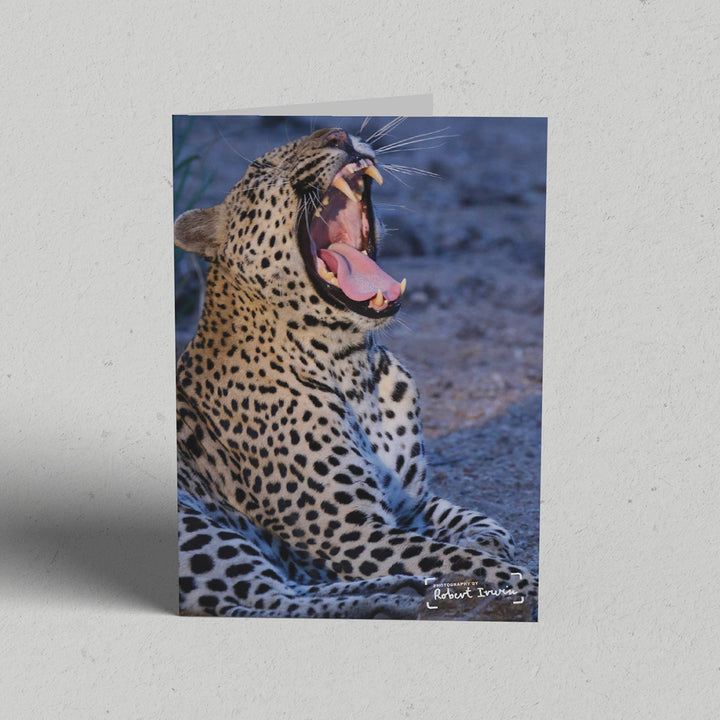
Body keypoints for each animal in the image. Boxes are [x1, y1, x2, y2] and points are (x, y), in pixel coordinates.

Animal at [175, 126, 538, 619]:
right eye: (263, 168)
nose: (338, 134)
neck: (355, 368)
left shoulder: (408, 504)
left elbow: (477, 524)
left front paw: (487, 539)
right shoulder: (352, 534)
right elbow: (460, 558)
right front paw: (526, 582)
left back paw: (400, 591)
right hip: (192, 523)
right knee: (267, 602)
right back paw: (390, 599)